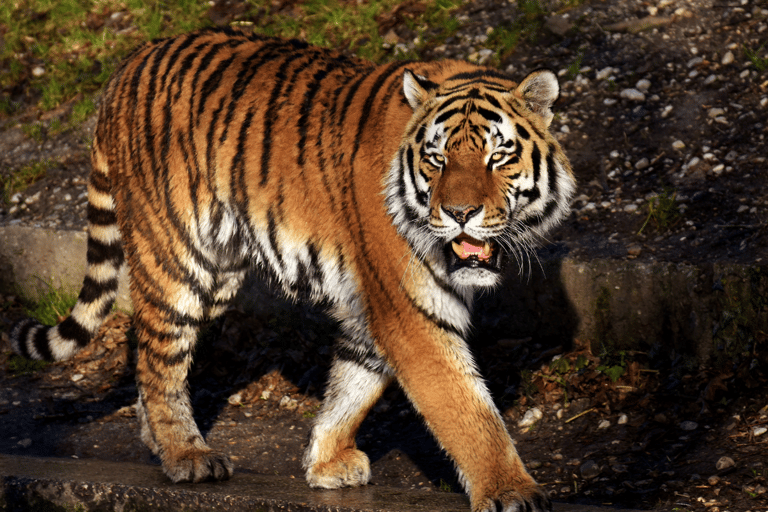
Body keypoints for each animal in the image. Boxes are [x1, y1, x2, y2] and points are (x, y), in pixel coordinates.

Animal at [9, 28, 576, 512]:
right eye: (437, 160)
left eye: (498, 157)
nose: (460, 213)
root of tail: (128, 66)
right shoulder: (409, 308)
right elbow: (466, 408)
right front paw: (511, 491)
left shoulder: (374, 306)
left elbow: (353, 383)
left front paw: (325, 462)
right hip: (175, 258)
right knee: (159, 356)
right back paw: (186, 455)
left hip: (220, 273)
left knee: (147, 349)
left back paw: (160, 441)